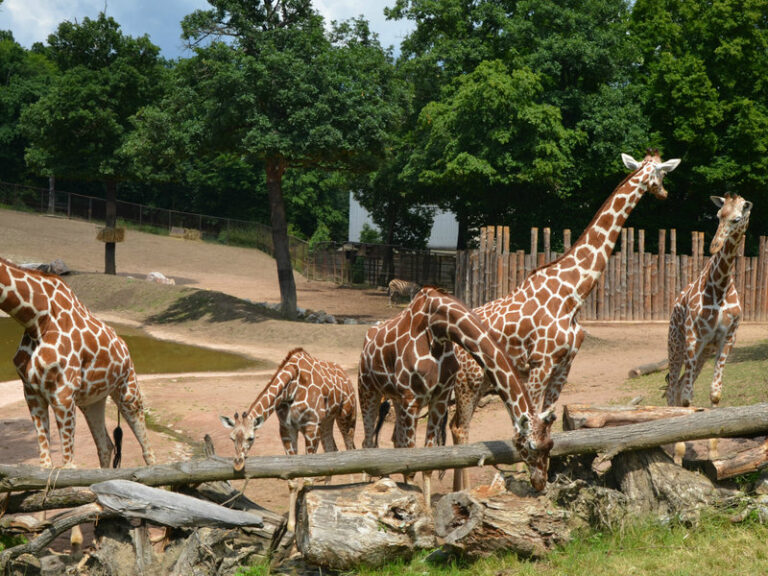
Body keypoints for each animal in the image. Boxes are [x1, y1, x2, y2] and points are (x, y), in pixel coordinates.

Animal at [0, 255, 156, 468]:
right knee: (106, 445)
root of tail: (125, 346)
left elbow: (68, 465)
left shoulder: (63, 393)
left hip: (128, 391)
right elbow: (45, 464)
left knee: (147, 450)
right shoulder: (31, 392)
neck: (36, 320)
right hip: (92, 401)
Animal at [219, 346, 356, 532]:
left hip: (346, 415)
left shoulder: (310, 427)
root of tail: (346, 377)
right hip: (327, 420)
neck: (291, 388)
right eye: (232, 437)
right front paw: (292, 525)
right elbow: (292, 480)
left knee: (351, 448)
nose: (238, 463)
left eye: (251, 438)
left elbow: (307, 480)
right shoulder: (286, 428)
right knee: (332, 449)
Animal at [356, 286, 556, 506]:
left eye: (550, 445)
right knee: (367, 443)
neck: (440, 329)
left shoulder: (439, 397)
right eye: (531, 446)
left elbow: (427, 464)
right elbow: (410, 467)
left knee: (394, 441)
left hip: (396, 400)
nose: (540, 482)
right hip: (368, 389)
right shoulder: (412, 399)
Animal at [448, 150, 680, 490]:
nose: (664, 193)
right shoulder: (539, 362)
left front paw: (553, 471)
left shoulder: (565, 363)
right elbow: (529, 419)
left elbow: (549, 416)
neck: (574, 294)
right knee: (460, 429)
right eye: (661, 173)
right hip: (469, 381)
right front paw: (530, 470)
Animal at [664, 196, 752, 412]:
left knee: (678, 385)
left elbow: (715, 394)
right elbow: (687, 398)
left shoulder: (728, 338)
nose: (714, 245)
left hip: (704, 351)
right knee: (672, 388)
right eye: (718, 215)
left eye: (737, 219)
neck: (720, 287)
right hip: (676, 344)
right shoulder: (692, 336)